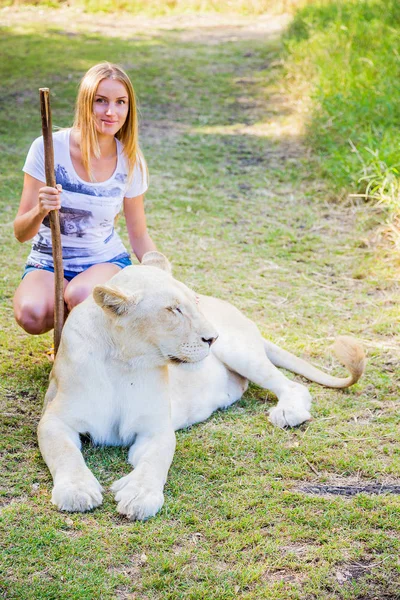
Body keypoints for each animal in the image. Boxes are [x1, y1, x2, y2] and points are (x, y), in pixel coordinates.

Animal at [37, 251, 366, 516]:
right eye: (174, 310)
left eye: (194, 302)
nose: (212, 337)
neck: (124, 361)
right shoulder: (54, 419)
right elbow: (64, 453)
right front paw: (77, 491)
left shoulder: (156, 428)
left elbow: (156, 461)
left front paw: (140, 495)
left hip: (240, 351)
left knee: (293, 386)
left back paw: (287, 413)